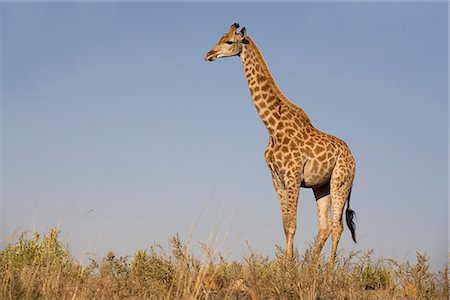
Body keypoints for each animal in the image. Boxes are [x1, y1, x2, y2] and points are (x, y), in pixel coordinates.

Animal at [206, 24, 356, 270]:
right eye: (220, 38)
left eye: (229, 41)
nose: (208, 54)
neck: (272, 126)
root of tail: (355, 160)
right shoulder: (276, 178)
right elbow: (285, 224)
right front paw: (288, 267)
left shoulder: (293, 175)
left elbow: (292, 224)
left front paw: (288, 270)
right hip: (321, 187)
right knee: (324, 226)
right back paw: (312, 271)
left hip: (340, 182)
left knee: (337, 226)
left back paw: (328, 273)